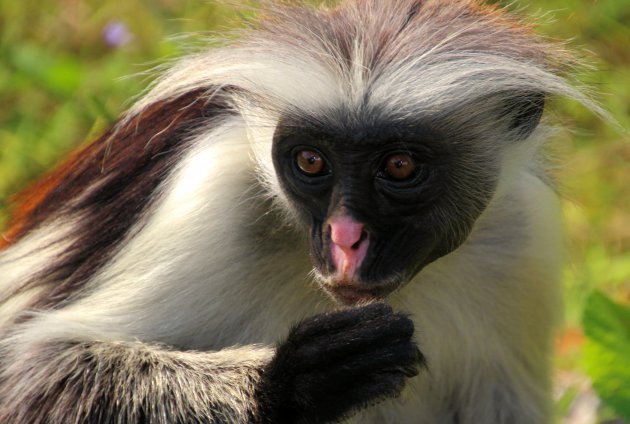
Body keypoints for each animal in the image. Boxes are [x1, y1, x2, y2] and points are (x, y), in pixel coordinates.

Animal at [0, 0, 608, 424]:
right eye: (311, 161)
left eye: (401, 166)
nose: (345, 237)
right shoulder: (209, 191)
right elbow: (35, 377)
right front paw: (292, 382)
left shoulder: (522, 235)